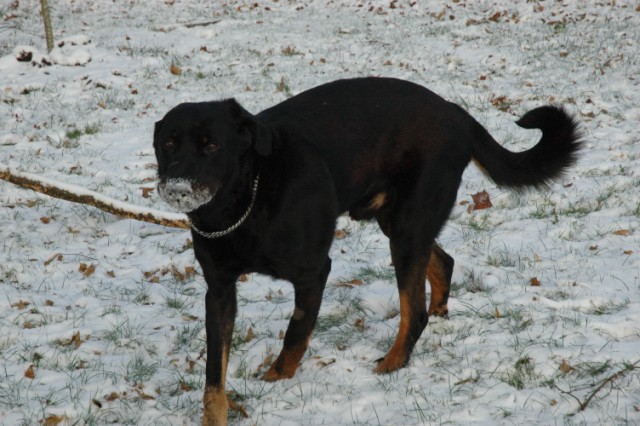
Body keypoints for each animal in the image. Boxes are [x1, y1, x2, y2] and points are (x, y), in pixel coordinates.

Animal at [154, 75, 580, 422]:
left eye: (211, 145)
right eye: (168, 144)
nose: (176, 187)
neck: (244, 205)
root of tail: (454, 112)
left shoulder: (312, 272)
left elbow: (296, 334)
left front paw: (275, 380)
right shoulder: (219, 289)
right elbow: (214, 371)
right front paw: (216, 414)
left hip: (408, 225)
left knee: (414, 309)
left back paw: (393, 363)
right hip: (397, 221)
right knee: (442, 263)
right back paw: (439, 315)